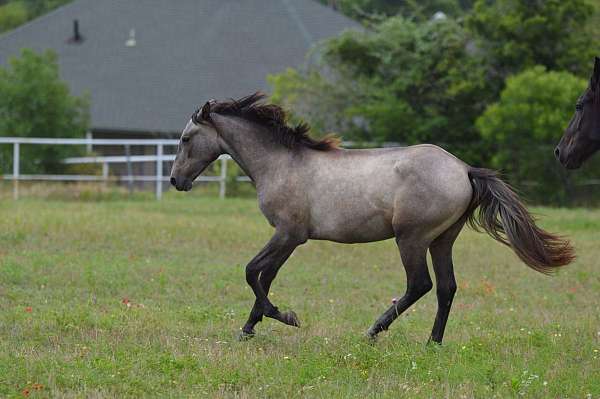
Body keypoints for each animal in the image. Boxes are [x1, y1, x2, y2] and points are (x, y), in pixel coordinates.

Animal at [171, 94, 576, 344]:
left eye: (187, 138)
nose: (176, 180)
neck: (282, 164)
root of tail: (464, 169)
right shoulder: (288, 238)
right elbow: (264, 276)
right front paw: (248, 329)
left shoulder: (289, 234)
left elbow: (252, 272)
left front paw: (284, 316)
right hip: (442, 240)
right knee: (446, 288)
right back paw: (432, 343)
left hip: (411, 238)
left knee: (420, 285)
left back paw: (372, 331)